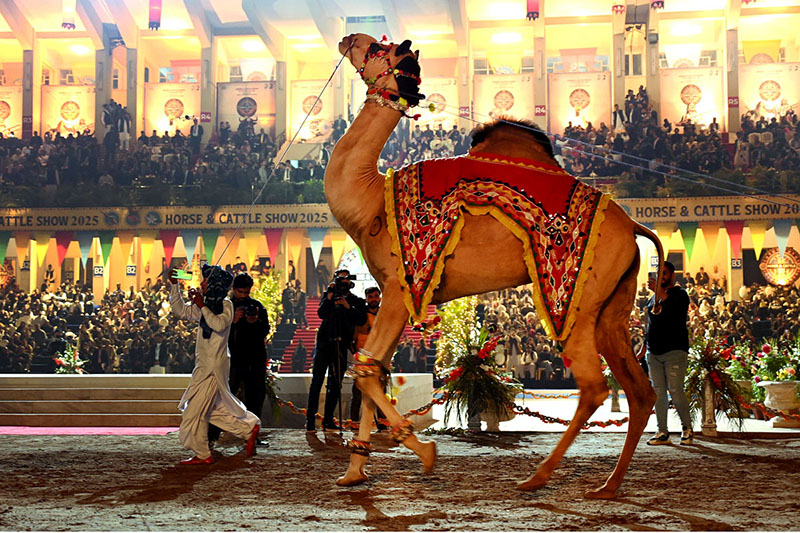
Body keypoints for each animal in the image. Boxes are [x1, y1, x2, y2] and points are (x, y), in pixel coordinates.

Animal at [324, 34, 664, 498]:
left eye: (380, 48)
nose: (349, 39)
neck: (371, 202)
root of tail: (633, 224)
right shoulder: (399, 294)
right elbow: (372, 368)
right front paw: (354, 472)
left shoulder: (398, 286)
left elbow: (365, 371)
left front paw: (425, 453)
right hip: (613, 306)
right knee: (639, 391)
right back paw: (608, 486)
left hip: (577, 302)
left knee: (594, 387)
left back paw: (537, 477)